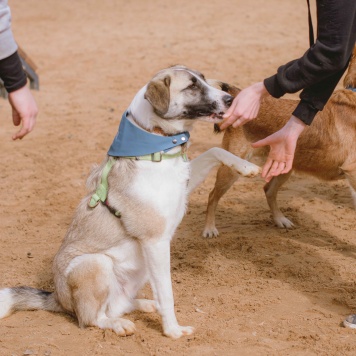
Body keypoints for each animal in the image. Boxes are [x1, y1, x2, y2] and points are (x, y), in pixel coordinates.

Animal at [0, 64, 262, 340]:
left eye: (202, 78)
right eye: (192, 86)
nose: (231, 99)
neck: (156, 142)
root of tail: (58, 299)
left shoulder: (183, 186)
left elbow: (215, 151)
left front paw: (247, 168)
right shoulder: (155, 241)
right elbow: (167, 293)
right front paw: (172, 330)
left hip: (139, 269)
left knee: (120, 304)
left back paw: (144, 305)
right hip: (96, 263)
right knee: (91, 318)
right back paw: (118, 324)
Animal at [202, 47, 356, 236]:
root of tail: (237, 95)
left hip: (284, 166)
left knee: (268, 190)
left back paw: (280, 220)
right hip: (232, 167)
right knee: (212, 195)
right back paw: (210, 228)